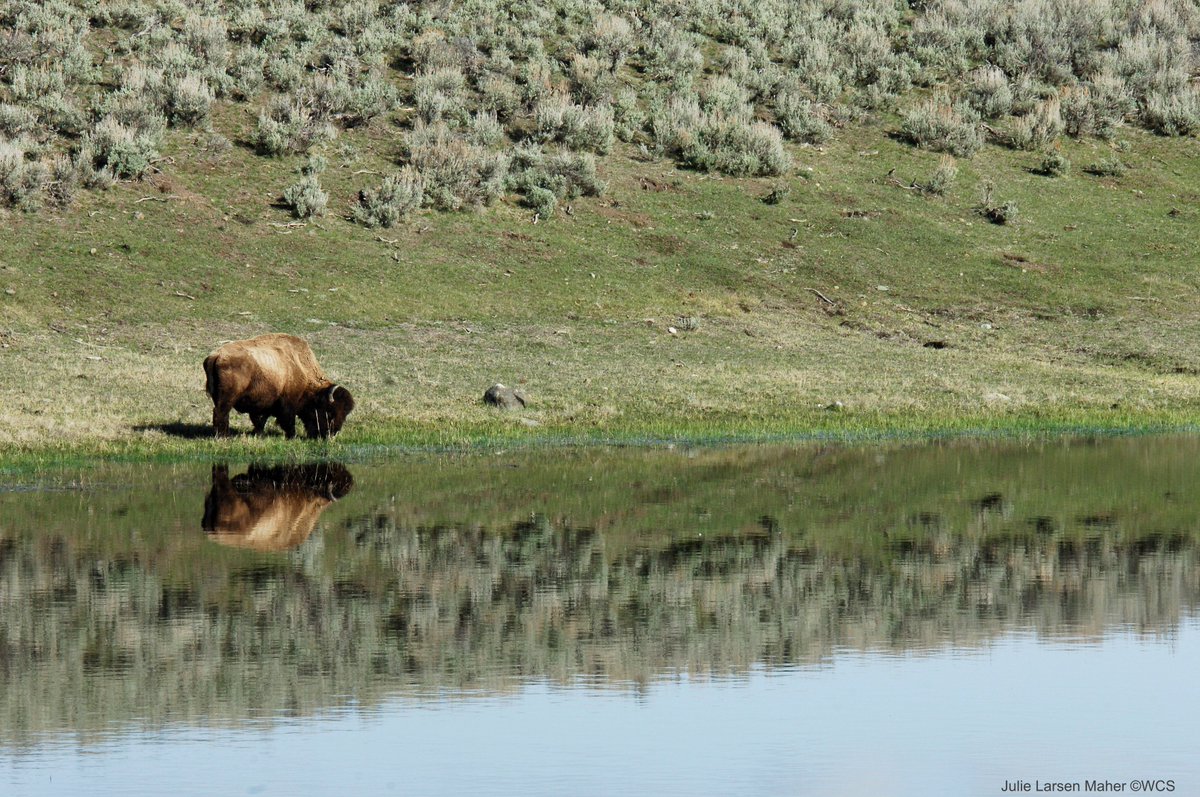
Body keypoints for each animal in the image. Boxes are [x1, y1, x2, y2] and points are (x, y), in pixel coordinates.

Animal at [203, 333, 354, 439]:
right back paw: (223, 436)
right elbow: (288, 421)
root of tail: (216, 355)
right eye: (330, 412)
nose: (331, 434)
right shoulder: (287, 405)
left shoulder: (265, 404)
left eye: (345, 414)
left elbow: (260, 420)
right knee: (221, 413)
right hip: (227, 399)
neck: (301, 368)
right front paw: (292, 436)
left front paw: (259, 433)